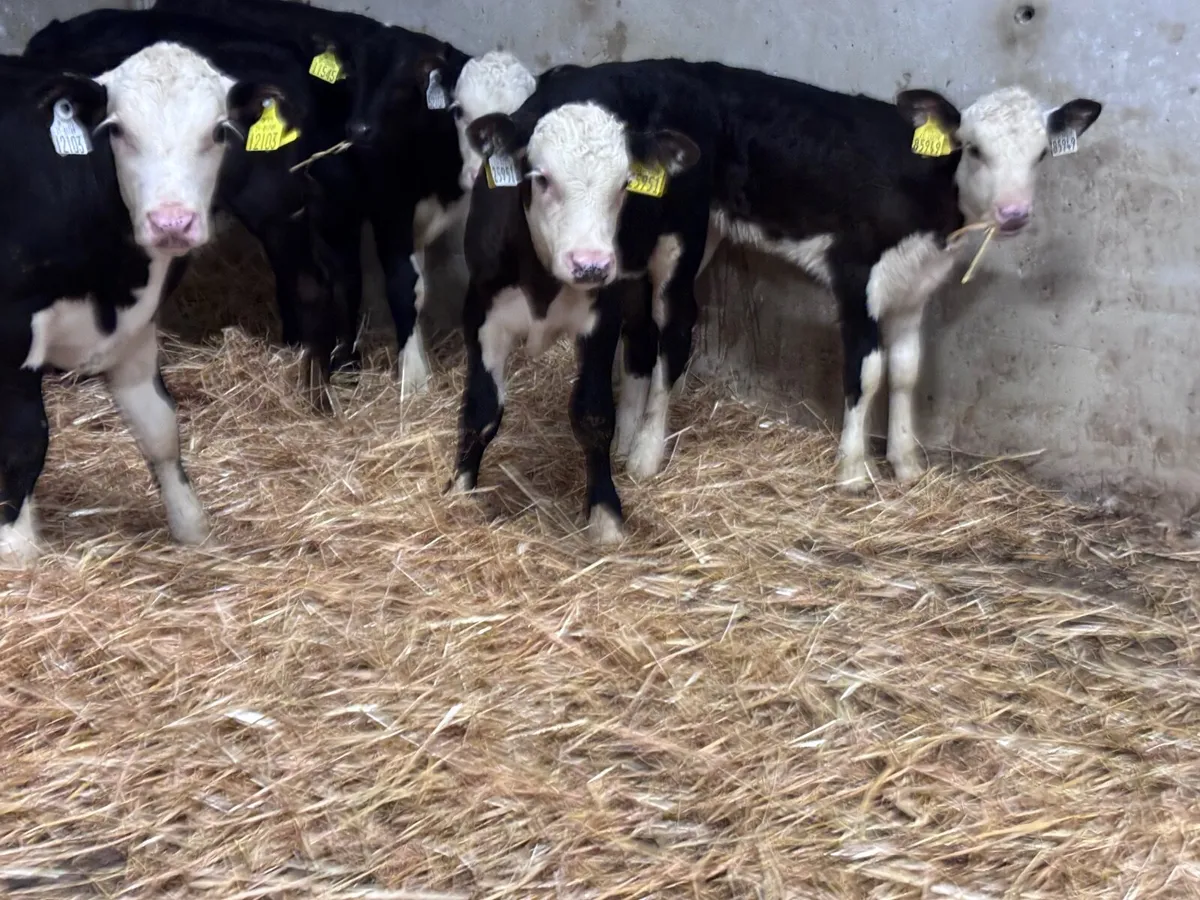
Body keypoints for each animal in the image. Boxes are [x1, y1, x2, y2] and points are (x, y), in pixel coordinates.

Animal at [0, 45, 299, 565]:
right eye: (117, 130)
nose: (171, 222)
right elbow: (24, 439)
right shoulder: (12, 329)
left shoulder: (136, 330)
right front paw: (16, 550)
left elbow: (160, 429)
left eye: (218, 131)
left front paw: (192, 529)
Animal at [452, 63, 720, 544]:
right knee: (641, 341)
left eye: (625, 184)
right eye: (540, 177)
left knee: (673, 338)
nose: (590, 264)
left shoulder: (600, 316)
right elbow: (480, 409)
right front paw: (459, 490)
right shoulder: (481, 310)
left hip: (678, 251)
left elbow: (592, 415)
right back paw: (629, 436)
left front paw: (606, 515)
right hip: (630, 275)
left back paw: (646, 449)